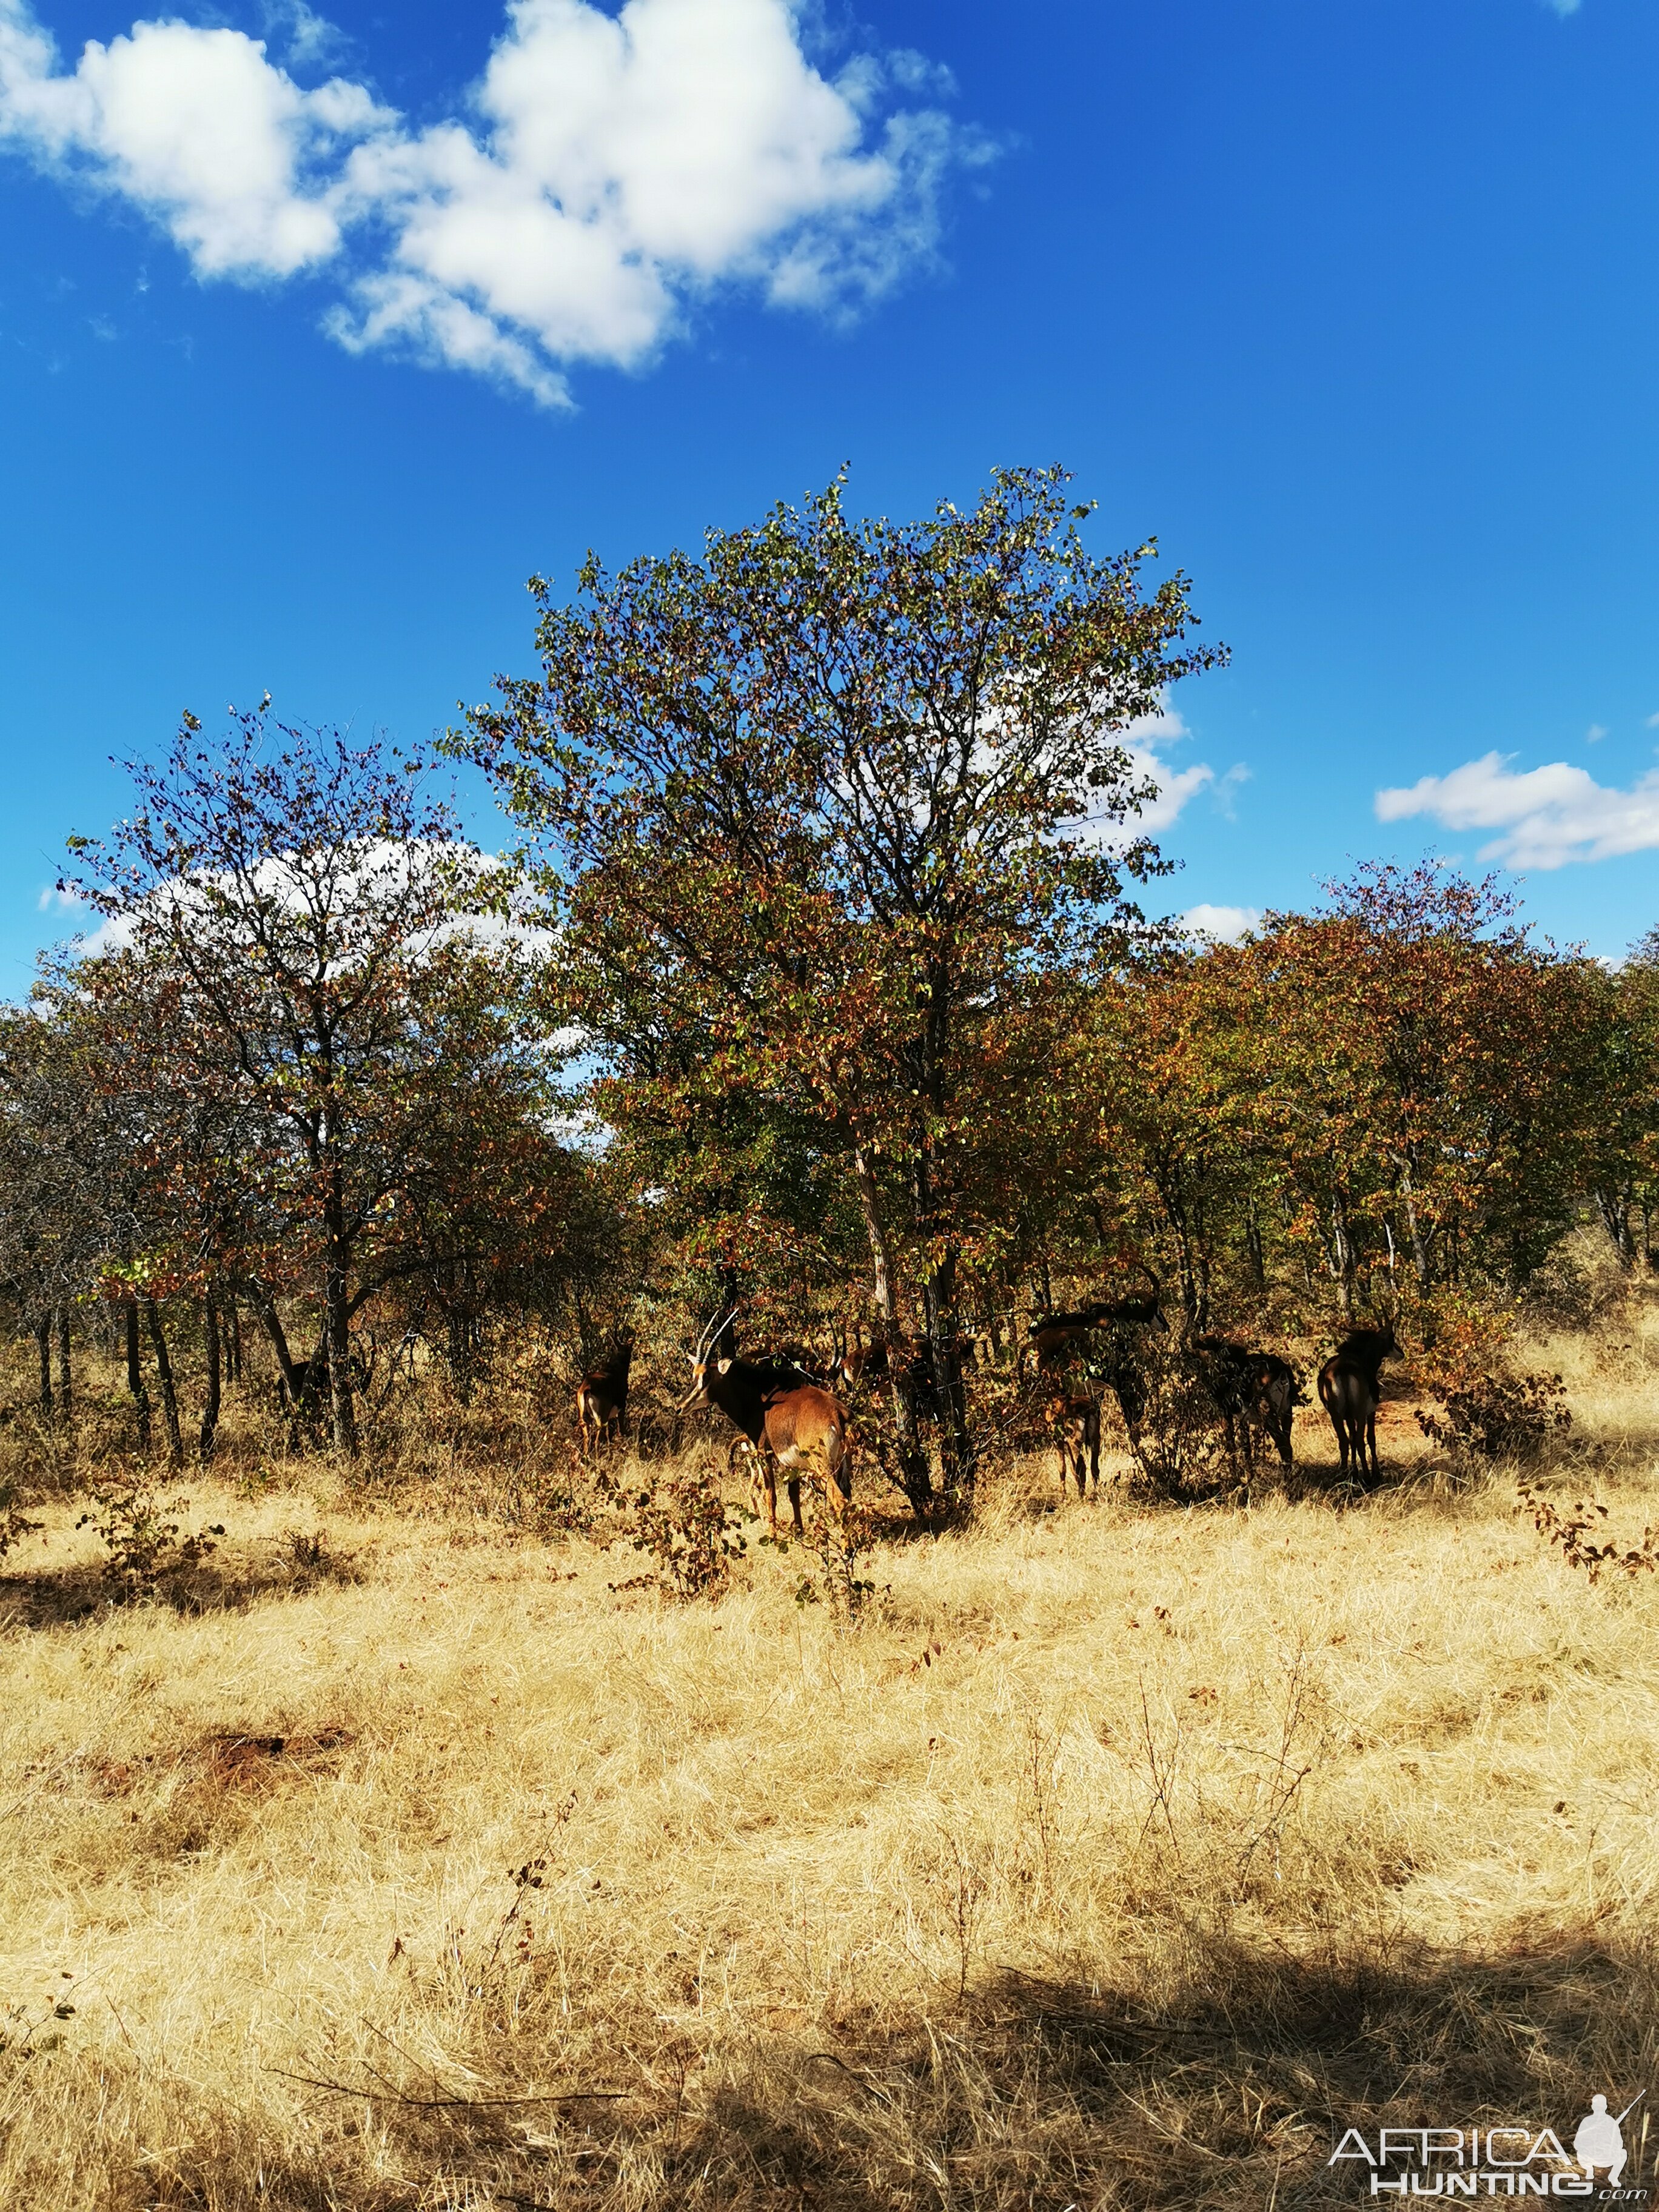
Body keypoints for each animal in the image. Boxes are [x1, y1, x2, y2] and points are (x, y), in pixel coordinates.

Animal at [575, 1336, 632, 1460]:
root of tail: (588, 1388)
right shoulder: (622, 1407)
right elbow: (620, 1428)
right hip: (600, 1418)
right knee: (596, 1441)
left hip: (585, 1420)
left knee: (587, 1441)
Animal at [677, 1301, 849, 1530]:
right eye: (693, 1374)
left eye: (707, 1376)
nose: (680, 1407)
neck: (762, 1396)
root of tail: (836, 1414)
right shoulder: (790, 1463)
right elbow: (793, 1496)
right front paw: (799, 1531)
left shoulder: (763, 1452)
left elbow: (771, 1496)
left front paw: (772, 1532)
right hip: (843, 1465)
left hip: (822, 1465)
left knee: (840, 1500)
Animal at [1053, 1389, 1106, 1495]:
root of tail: (1086, 1411)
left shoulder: (1059, 1442)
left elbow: (1062, 1467)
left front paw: (1063, 1494)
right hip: (1096, 1440)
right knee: (1094, 1468)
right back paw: (1096, 1493)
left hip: (1076, 1442)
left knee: (1081, 1467)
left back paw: (1081, 1495)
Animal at [1327, 1327, 1407, 1486]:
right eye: (1391, 1337)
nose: (1401, 1354)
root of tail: (1343, 1369)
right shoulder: (1371, 1411)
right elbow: (1371, 1438)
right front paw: (1376, 1473)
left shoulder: (1349, 1417)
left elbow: (1351, 1438)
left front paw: (1354, 1473)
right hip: (1360, 1413)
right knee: (1360, 1441)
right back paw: (1368, 1478)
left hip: (1336, 1415)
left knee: (1344, 1441)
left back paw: (1344, 1477)